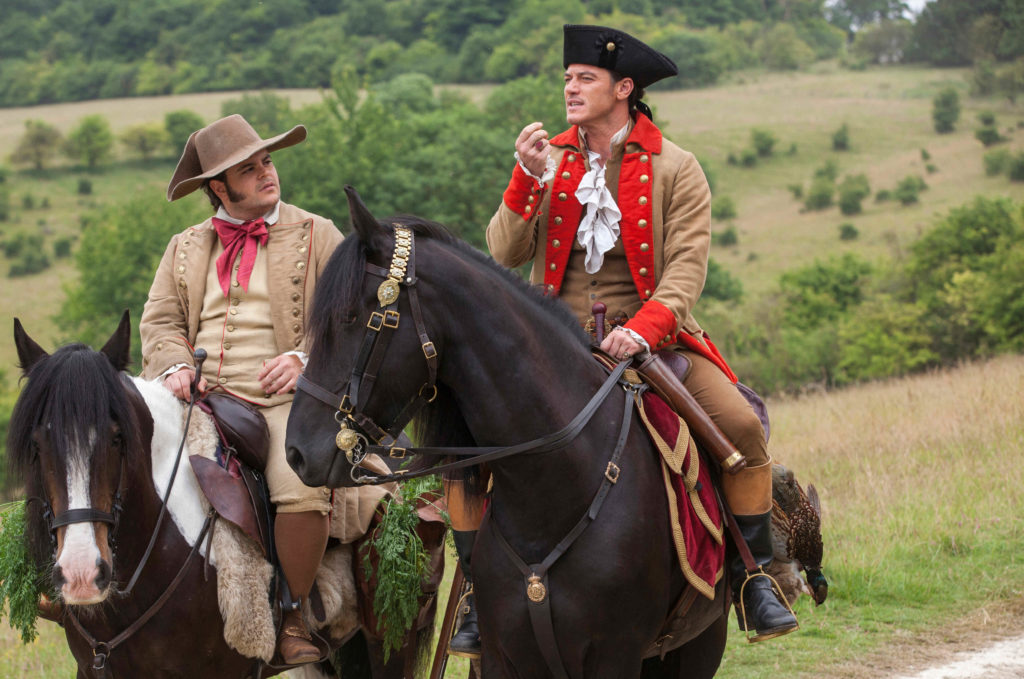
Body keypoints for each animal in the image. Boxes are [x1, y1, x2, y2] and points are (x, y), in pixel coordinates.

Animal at [286, 189, 729, 679]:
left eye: (350, 317)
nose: (297, 452)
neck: (555, 486)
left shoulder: (616, 655)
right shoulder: (504, 656)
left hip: (696, 647)